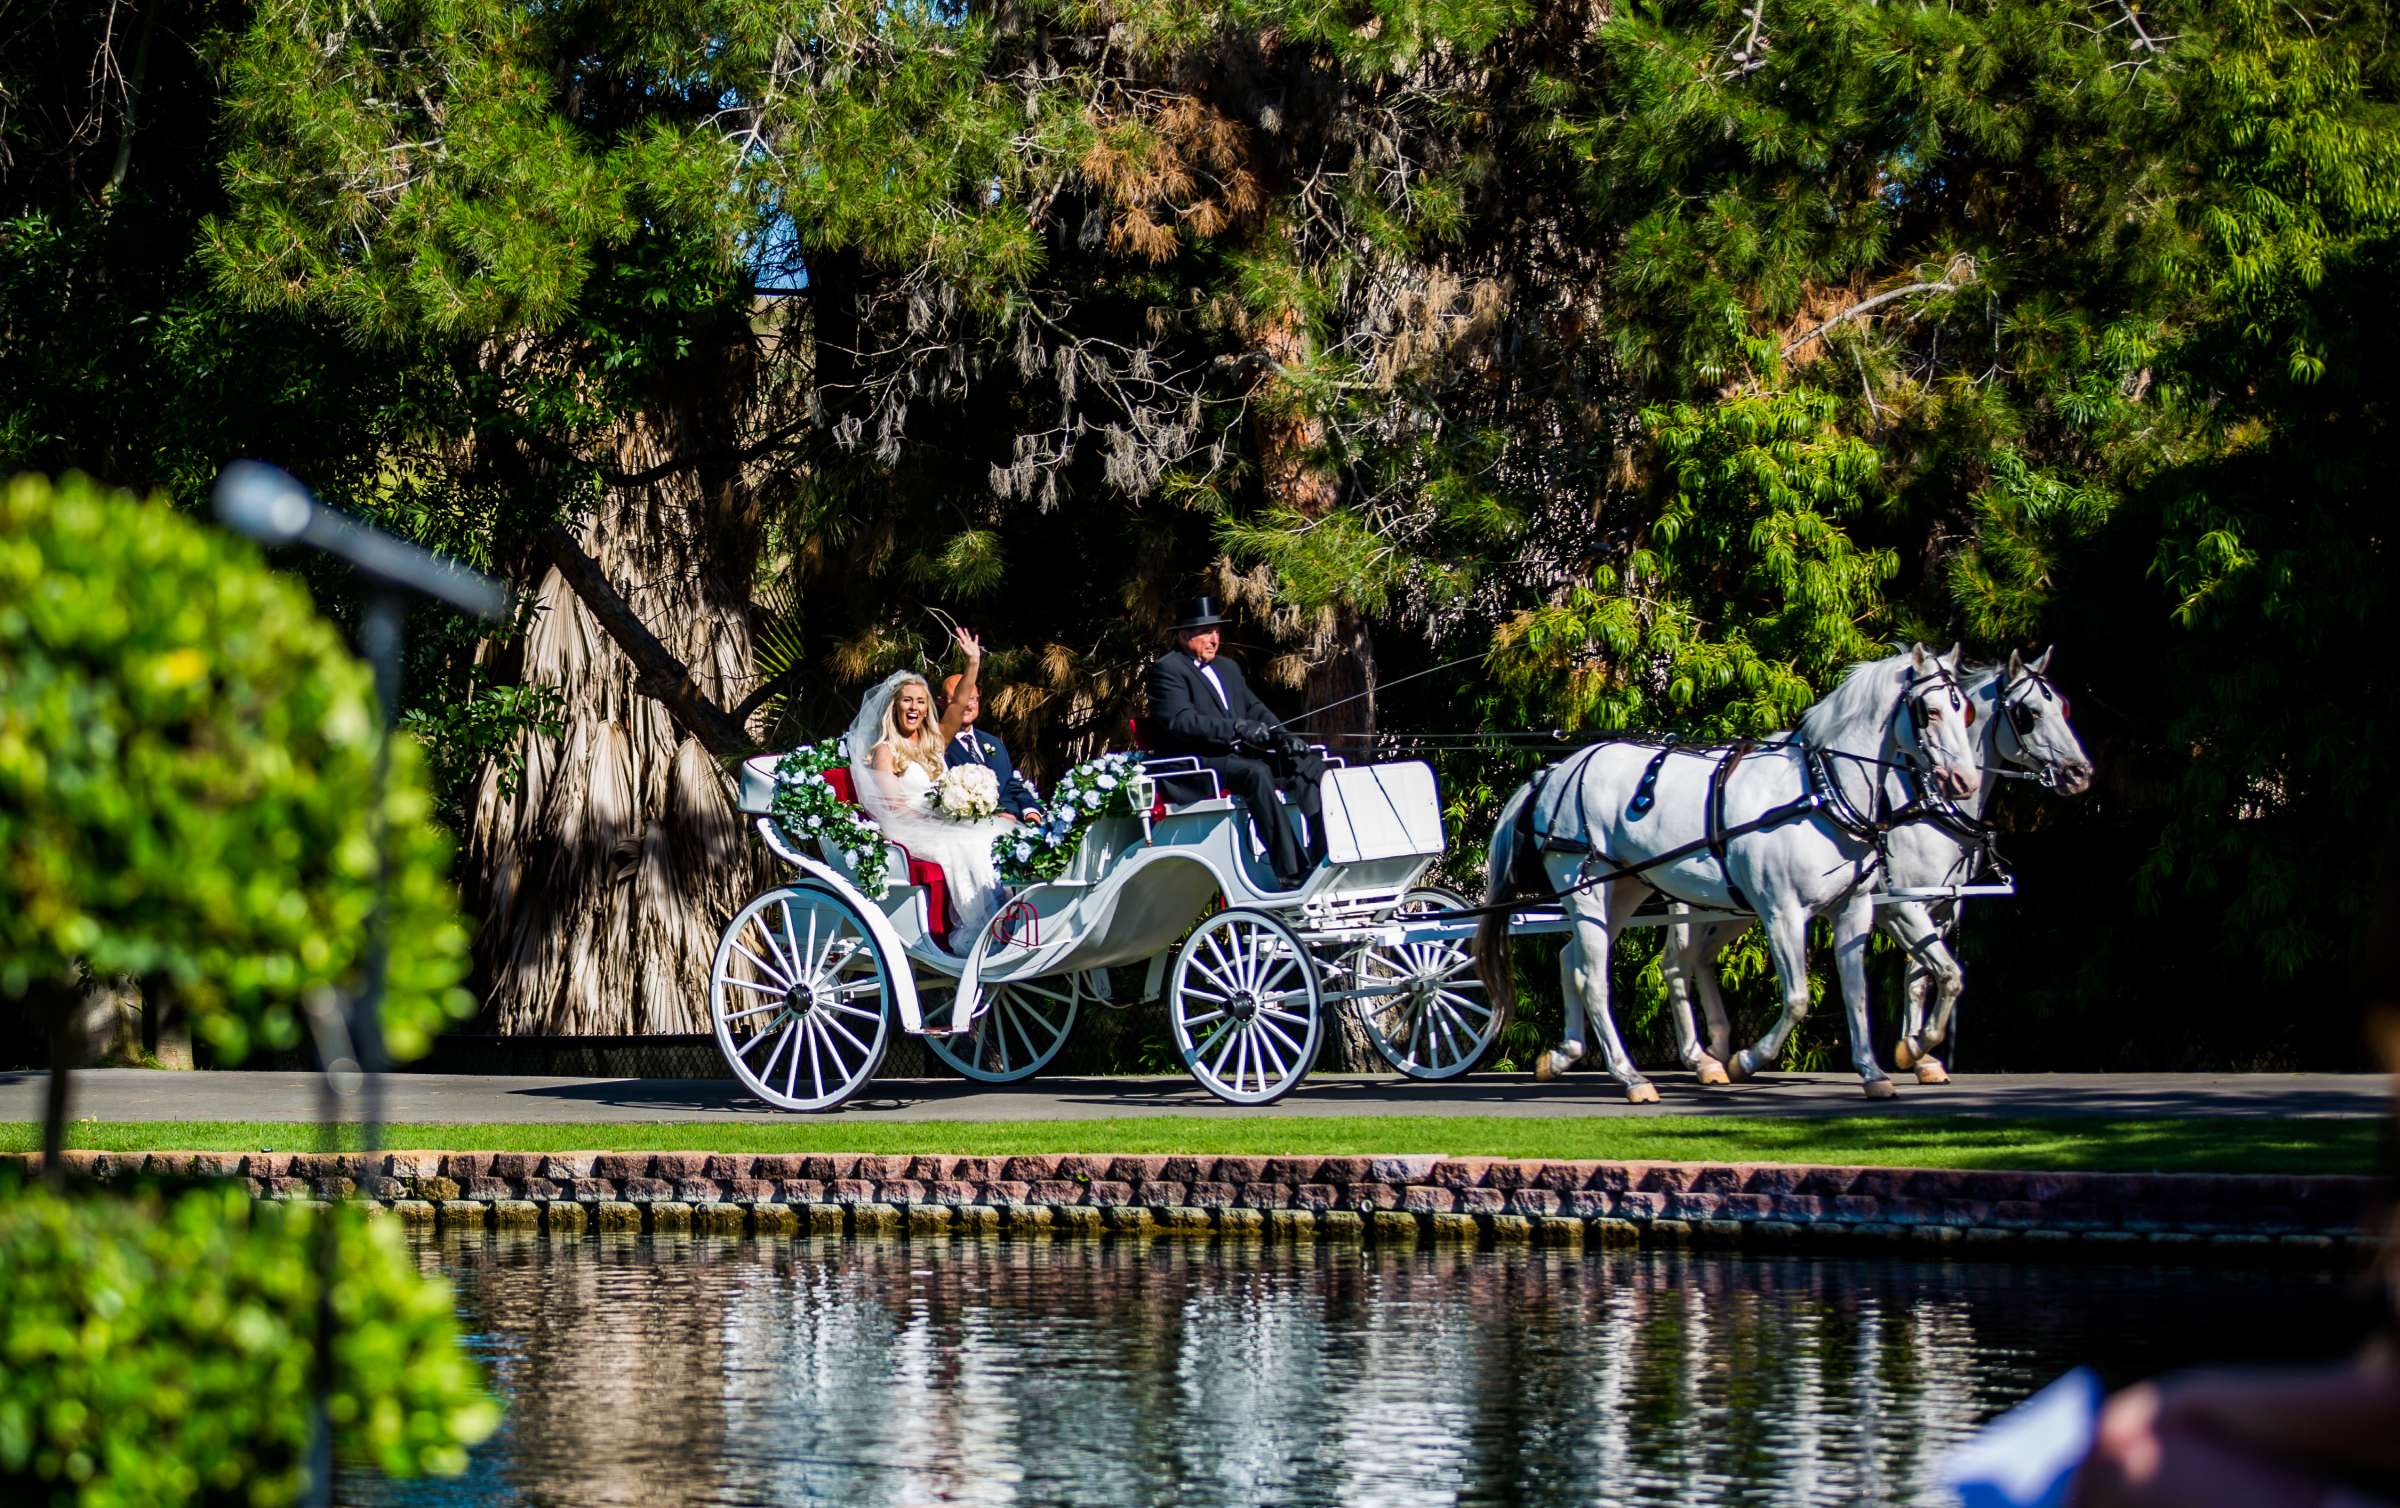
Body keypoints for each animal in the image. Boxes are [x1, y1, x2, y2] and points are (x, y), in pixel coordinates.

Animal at [1478, 643, 1987, 1099]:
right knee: (1593, 976)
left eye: (1966, 712)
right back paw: (1631, 1077)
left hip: (1622, 888)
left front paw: (1874, 1072)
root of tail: (1555, 771)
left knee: (1572, 961)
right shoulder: (1782, 912)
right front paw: (1746, 1059)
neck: (1819, 792)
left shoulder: (1854, 909)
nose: (1965, 782)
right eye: (1930, 711)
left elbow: (1857, 992)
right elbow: (1798, 998)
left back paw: (1563, 1055)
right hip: (1584, 885)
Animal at [1660, 648, 2092, 1085]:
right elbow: (1943, 973)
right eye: (2029, 712)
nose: (2080, 773)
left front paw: (1918, 1053)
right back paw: (1701, 1057)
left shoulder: (1938, 910)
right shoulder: (1900, 906)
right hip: (1693, 903)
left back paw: (1716, 1051)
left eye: (2063, 706)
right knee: (1677, 964)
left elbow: (1925, 977)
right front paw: (1916, 1048)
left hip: (1733, 908)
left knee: (1700, 960)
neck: (1925, 803)